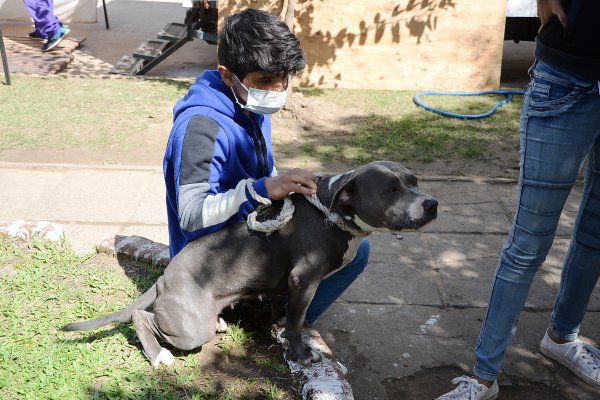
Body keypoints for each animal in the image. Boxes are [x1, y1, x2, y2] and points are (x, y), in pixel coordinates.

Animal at [63, 161, 438, 368]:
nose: (432, 203)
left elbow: (286, 315)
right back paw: (158, 356)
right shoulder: (303, 280)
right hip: (190, 329)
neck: (332, 213)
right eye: (391, 189)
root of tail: (165, 278)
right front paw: (301, 352)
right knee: (142, 317)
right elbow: (296, 322)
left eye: (415, 181)